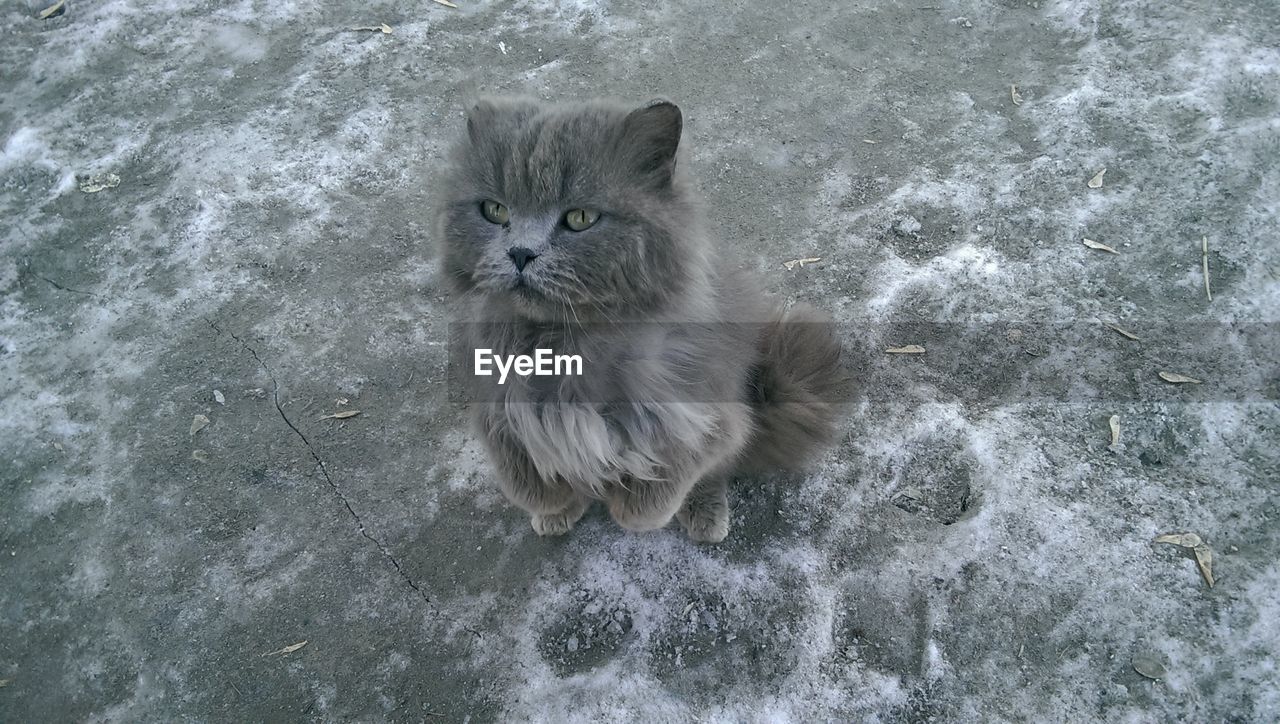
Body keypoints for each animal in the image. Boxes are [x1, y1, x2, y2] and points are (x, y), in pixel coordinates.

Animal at [437, 96, 849, 542]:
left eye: (580, 218)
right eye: (494, 210)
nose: (519, 253)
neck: (562, 343)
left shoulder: (697, 418)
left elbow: (654, 495)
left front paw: (626, 507)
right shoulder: (501, 411)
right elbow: (530, 480)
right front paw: (557, 505)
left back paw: (705, 515)